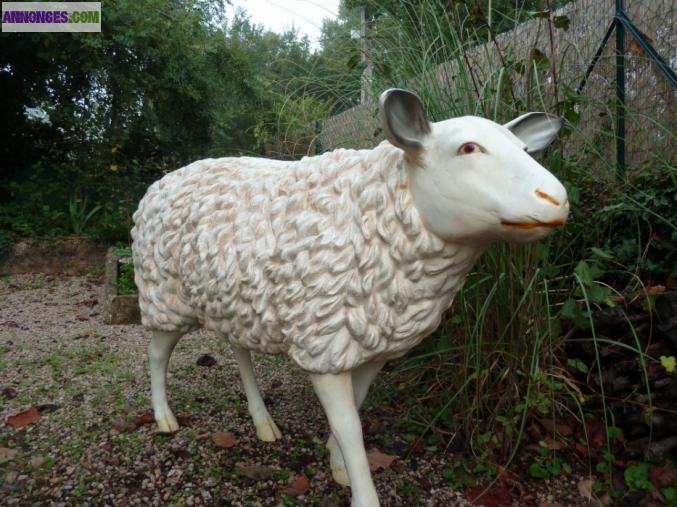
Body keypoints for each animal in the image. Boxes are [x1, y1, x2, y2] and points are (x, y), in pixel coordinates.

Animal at [131, 89, 569, 507]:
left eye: (525, 149)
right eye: (468, 148)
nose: (557, 200)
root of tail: (159, 183)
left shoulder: (372, 345)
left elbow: (354, 412)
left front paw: (337, 465)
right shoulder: (323, 345)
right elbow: (350, 426)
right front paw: (360, 491)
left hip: (236, 301)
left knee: (240, 353)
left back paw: (263, 423)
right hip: (164, 296)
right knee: (156, 353)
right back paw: (164, 417)